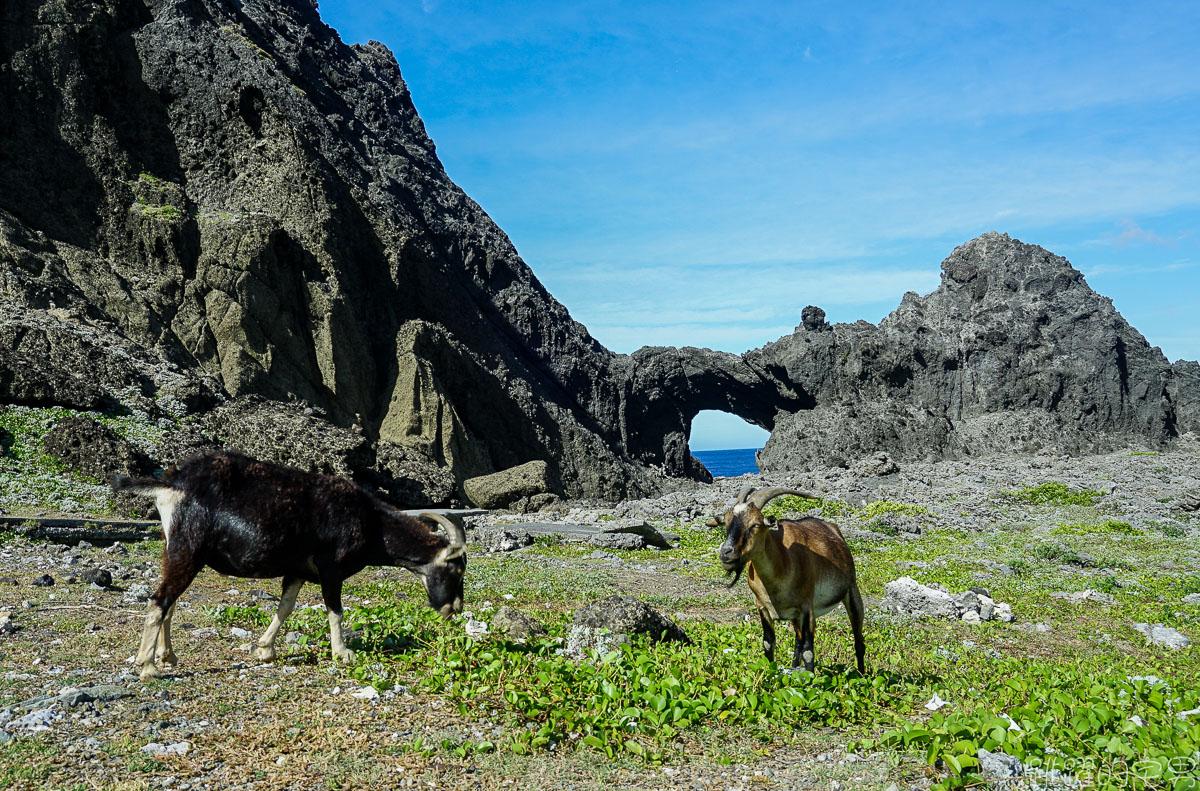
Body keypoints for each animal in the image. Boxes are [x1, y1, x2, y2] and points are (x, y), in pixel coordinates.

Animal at [112, 451, 465, 681]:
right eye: (457, 569)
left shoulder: (297, 571)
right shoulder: (330, 567)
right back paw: (147, 666)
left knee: (169, 602)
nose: (455, 609)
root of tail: (172, 484)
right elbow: (335, 610)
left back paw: (167, 656)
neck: (373, 523)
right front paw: (343, 653)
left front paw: (265, 650)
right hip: (188, 550)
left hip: (175, 549)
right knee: (160, 600)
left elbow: (285, 608)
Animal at [720, 482, 864, 676]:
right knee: (798, 641)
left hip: (852, 592)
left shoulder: (807, 608)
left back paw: (863, 675)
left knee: (858, 641)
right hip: (795, 617)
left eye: (755, 524)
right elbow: (768, 643)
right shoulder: (763, 607)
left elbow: (808, 651)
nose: (726, 553)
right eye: (727, 522)